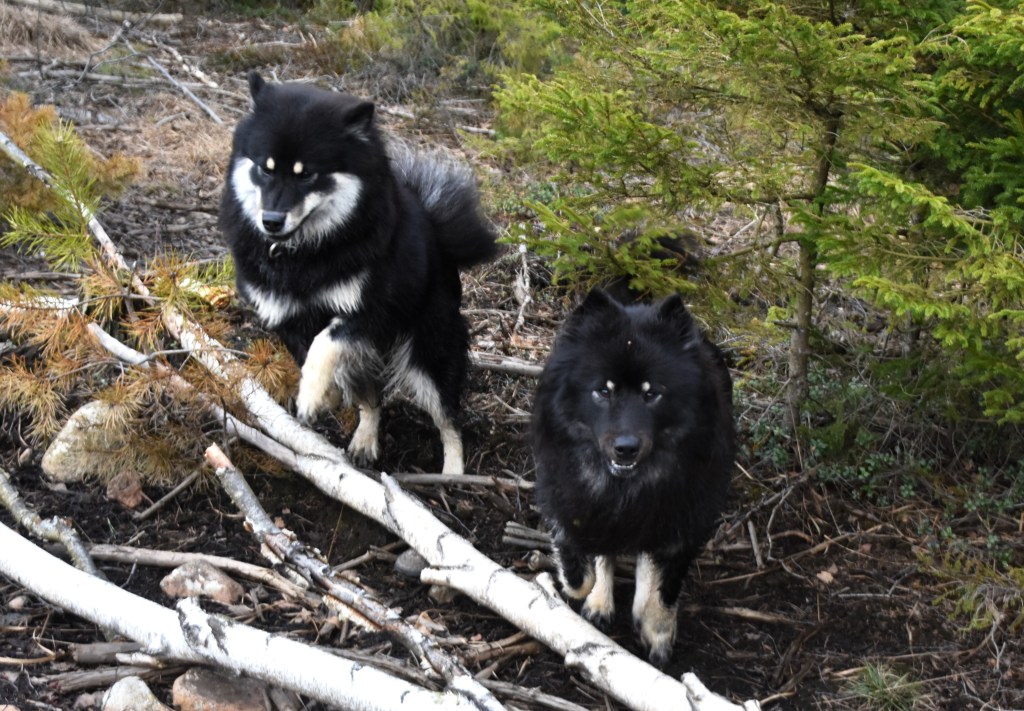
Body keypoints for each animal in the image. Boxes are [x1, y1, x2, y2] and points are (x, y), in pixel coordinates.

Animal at [219, 72, 497, 474]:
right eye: (265, 168)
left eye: (307, 175)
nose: (270, 221)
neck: (304, 253)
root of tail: (437, 232)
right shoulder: (287, 317)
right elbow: (317, 360)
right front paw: (326, 396)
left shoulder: (367, 312)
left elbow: (324, 344)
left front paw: (310, 397)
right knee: (372, 397)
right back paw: (365, 438)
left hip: (429, 353)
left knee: (448, 420)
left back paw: (453, 474)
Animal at [531, 288, 734, 666]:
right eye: (603, 391)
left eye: (651, 393)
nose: (626, 448)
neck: (625, 488)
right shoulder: (574, 503)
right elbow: (580, 569)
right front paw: (587, 588)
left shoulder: (684, 522)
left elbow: (664, 586)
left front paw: (656, 628)